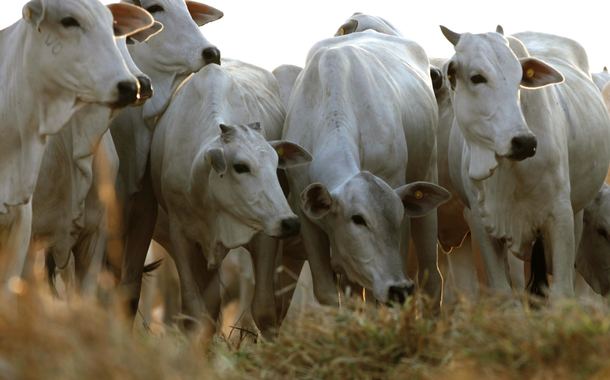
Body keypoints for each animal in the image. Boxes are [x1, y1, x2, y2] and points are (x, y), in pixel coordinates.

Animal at [150, 58, 314, 338]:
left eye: (276, 165)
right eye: (240, 167)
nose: (291, 223)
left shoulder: (265, 235)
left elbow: (264, 309)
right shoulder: (180, 235)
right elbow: (194, 312)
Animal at [282, 30, 448, 308]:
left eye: (398, 217)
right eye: (357, 218)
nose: (400, 289)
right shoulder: (304, 214)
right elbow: (328, 293)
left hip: (427, 172)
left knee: (432, 279)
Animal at [442, 27, 608, 300]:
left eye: (519, 77)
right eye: (477, 77)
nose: (524, 142)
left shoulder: (560, 214)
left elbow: (562, 292)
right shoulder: (480, 220)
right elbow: (502, 290)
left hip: (576, 213)